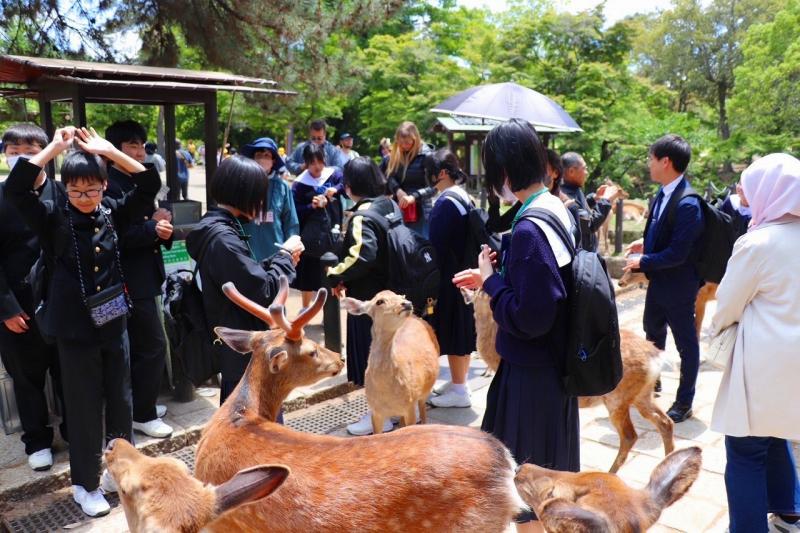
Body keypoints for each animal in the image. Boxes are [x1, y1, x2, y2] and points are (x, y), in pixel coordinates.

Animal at [341, 291, 440, 435]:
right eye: (379, 301)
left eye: (401, 296)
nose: (407, 303)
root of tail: (416, 318)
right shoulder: (375, 410)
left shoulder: (409, 405)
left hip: (424, 390)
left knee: (422, 410)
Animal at [459, 287, 673, 473]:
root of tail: (656, 358)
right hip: (642, 394)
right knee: (665, 422)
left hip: (617, 398)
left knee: (630, 435)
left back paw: (610, 473)